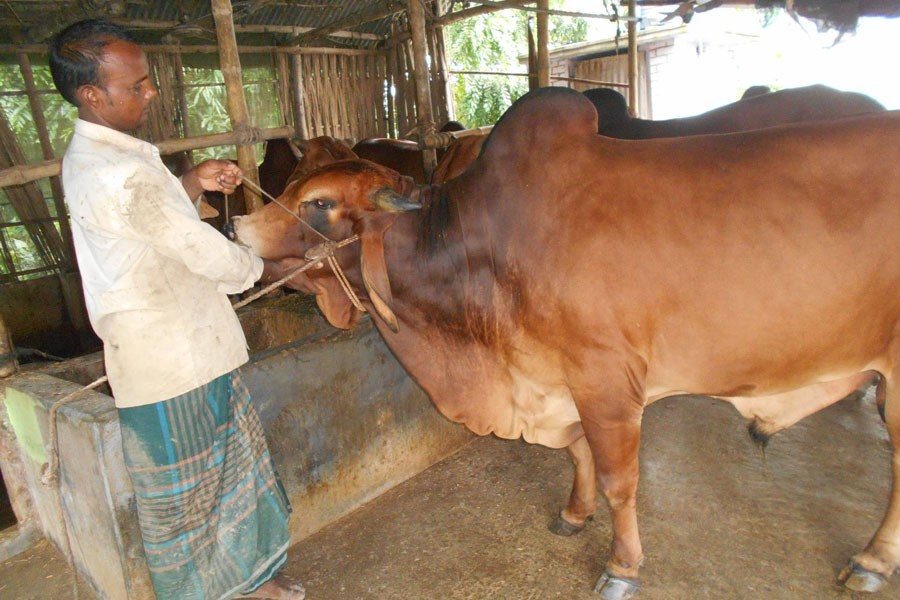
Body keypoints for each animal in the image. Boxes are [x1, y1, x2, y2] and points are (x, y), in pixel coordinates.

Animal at [227, 87, 900, 598]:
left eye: (318, 202)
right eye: (294, 181)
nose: (235, 224)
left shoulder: (606, 381)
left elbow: (619, 479)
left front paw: (622, 567)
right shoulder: (556, 378)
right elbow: (576, 453)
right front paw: (575, 514)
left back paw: (870, 562)